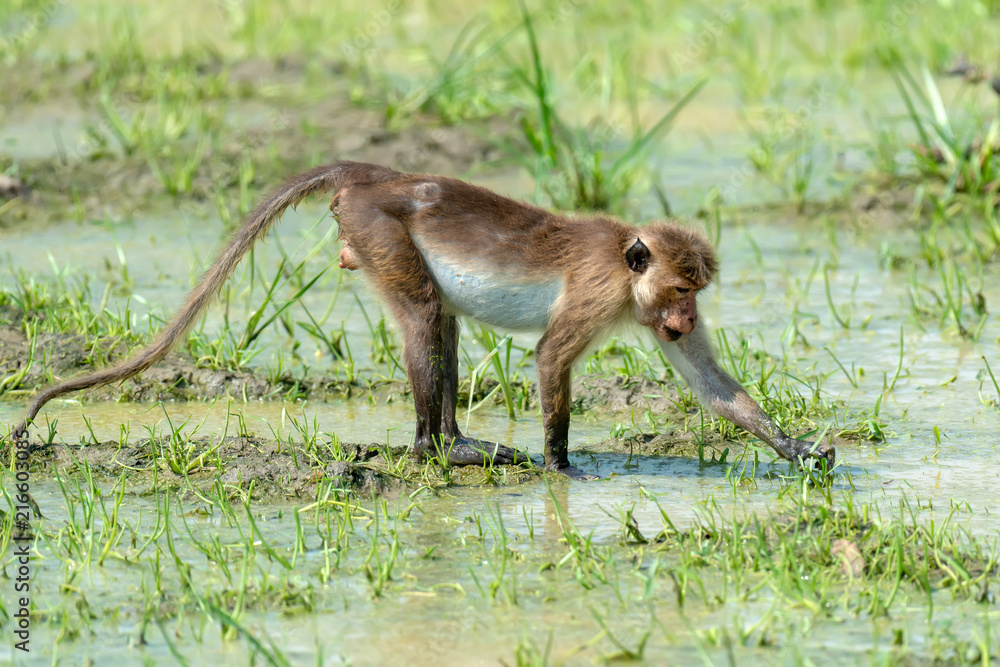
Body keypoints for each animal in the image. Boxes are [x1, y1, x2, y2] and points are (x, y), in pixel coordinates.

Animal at [9, 163, 836, 480]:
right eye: (680, 288)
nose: (685, 315)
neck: (629, 275)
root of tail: (368, 174)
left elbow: (711, 384)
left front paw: (798, 449)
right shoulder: (598, 291)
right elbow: (549, 361)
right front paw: (563, 467)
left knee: (441, 323)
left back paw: (455, 440)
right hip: (379, 228)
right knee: (425, 315)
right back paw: (436, 447)